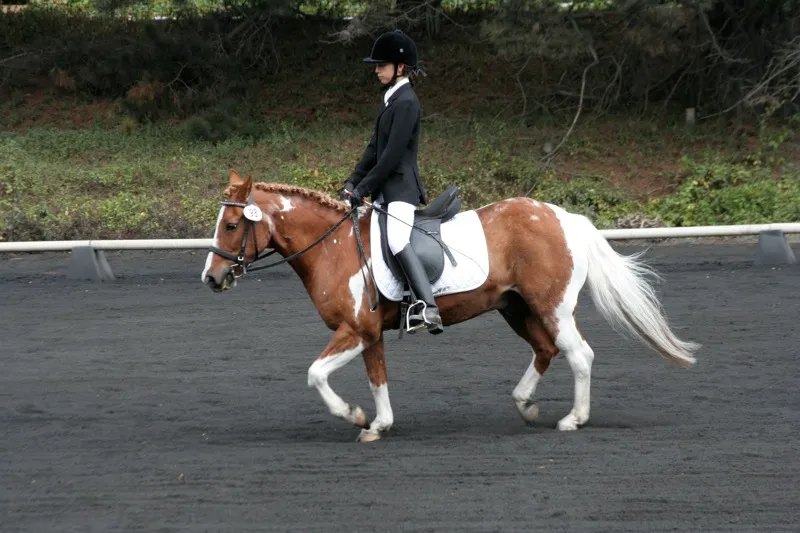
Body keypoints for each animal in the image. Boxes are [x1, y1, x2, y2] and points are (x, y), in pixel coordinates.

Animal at [202, 169, 699, 443]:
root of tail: (564, 217)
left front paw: (354, 415)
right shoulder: (369, 334)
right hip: (515, 308)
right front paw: (378, 424)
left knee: (579, 354)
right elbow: (378, 378)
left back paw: (573, 419)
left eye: (231, 225)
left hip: (551, 306)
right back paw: (526, 405)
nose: (210, 278)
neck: (333, 247)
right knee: (546, 350)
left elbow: (316, 374)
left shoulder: (355, 331)